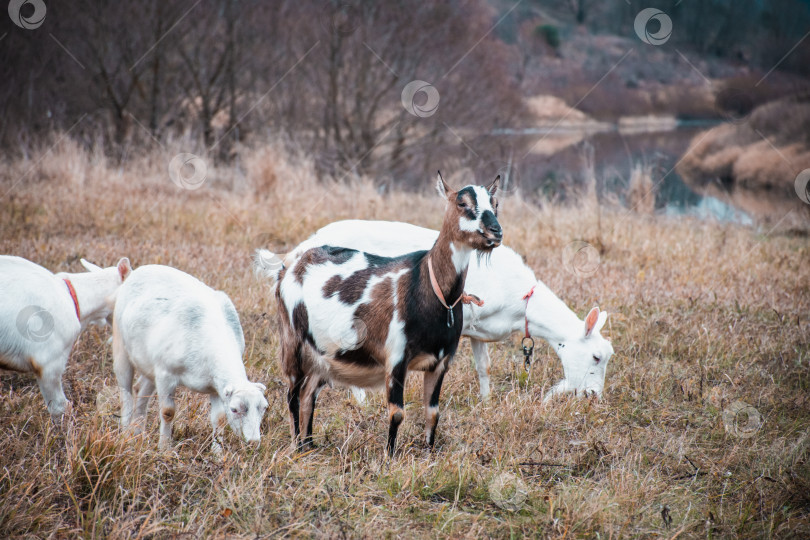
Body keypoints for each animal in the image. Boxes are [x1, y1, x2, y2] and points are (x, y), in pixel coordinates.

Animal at [258, 174, 498, 456]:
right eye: (462, 203)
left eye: (495, 203)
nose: (496, 232)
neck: (429, 286)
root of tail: (289, 267)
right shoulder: (396, 357)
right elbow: (397, 413)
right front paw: (390, 457)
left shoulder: (440, 363)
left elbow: (432, 413)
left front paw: (428, 454)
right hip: (292, 340)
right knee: (293, 395)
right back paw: (297, 446)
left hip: (322, 355)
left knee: (308, 394)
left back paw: (310, 446)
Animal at [272, 219, 612, 400]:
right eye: (596, 356)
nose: (594, 396)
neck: (521, 299)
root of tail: (298, 252)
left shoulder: (478, 328)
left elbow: (484, 367)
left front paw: (486, 402)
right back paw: (361, 399)